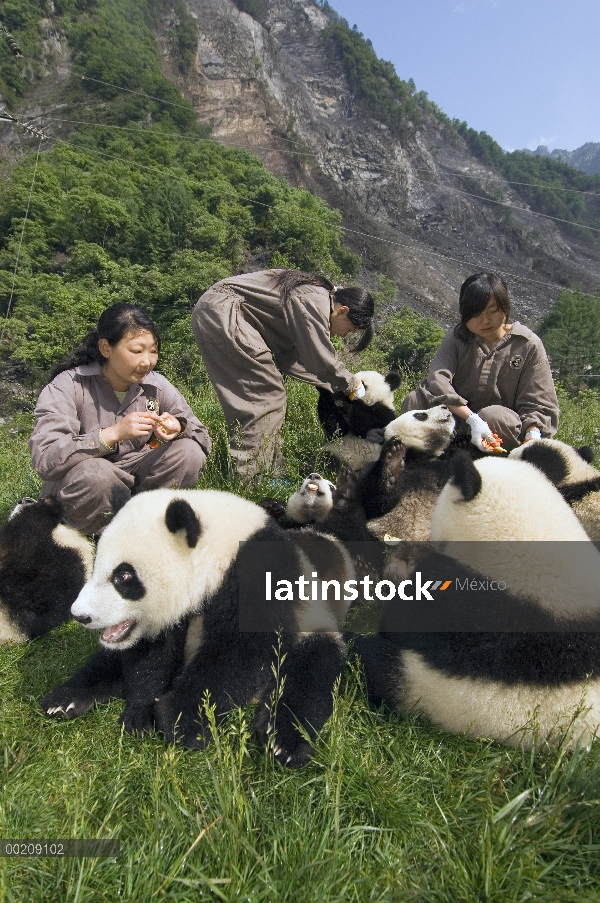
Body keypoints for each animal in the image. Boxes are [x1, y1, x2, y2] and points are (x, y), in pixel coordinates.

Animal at [41, 490, 360, 768]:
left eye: (123, 576)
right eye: (97, 567)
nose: (80, 615)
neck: (221, 549)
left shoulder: (259, 573)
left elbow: (242, 653)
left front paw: (179, 719)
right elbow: (152, 655)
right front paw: (140, 714)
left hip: (312, 625)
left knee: (308, 676)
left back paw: (284, 742)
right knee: (107, 663)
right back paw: (66, 699)